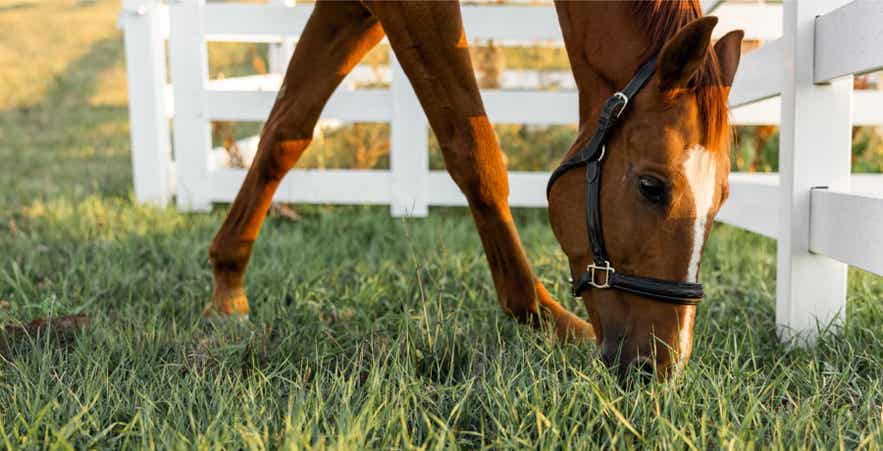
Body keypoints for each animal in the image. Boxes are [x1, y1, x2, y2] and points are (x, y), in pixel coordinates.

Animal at [206, 0, 743, 378]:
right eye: (653, 187)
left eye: (723, 198)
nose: (664, 365)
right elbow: (474, 152)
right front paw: (543, 316)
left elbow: (287, 128)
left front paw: (228, 283)